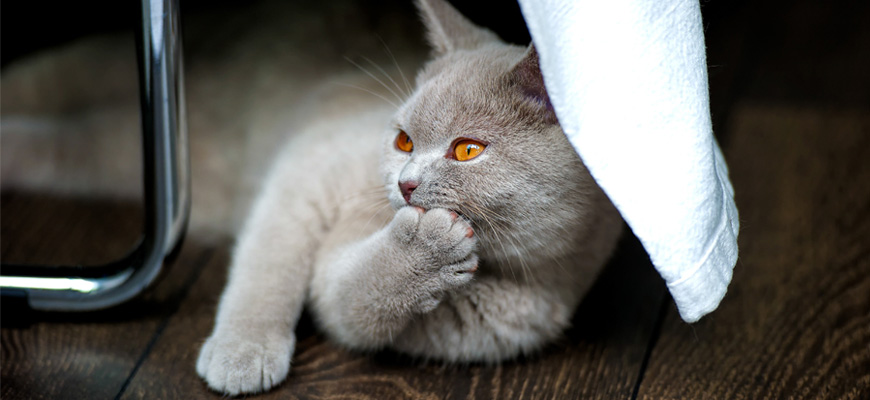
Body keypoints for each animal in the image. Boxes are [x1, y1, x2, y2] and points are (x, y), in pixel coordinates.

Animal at [196, 0, 628, 394]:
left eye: (467, 150)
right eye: (403, 141)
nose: (406, 183)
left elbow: (350, 300)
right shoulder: (306, 176)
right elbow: (271, 263)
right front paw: (242, 354)